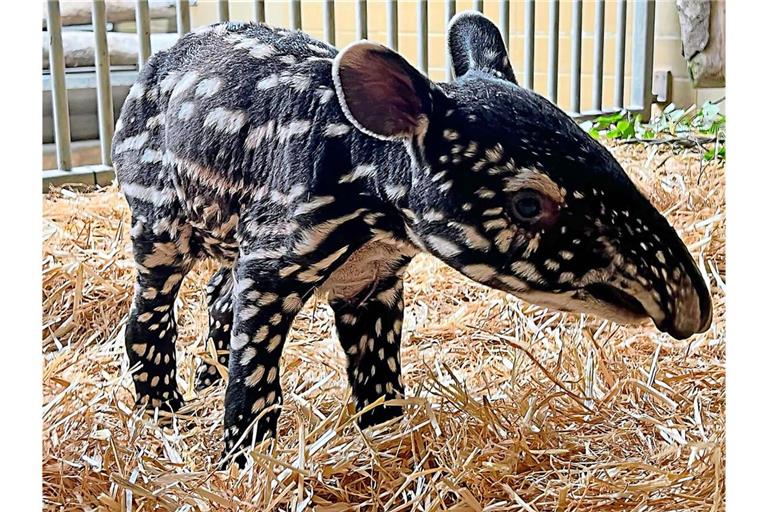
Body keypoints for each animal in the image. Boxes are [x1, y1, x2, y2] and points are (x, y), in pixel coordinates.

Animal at [112, 12, 712, 466]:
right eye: (527, 204)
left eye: (608, 156)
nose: (692, 309)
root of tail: (151, 66)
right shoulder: (276, 255)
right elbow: (255, 376)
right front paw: (244, 460)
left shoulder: (372, 280)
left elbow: (378, 376)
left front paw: (387, 440)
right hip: (156, 211)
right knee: (150, 308)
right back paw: (163, 407)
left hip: (227, 230)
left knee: (217, 293)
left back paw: (204, 378)